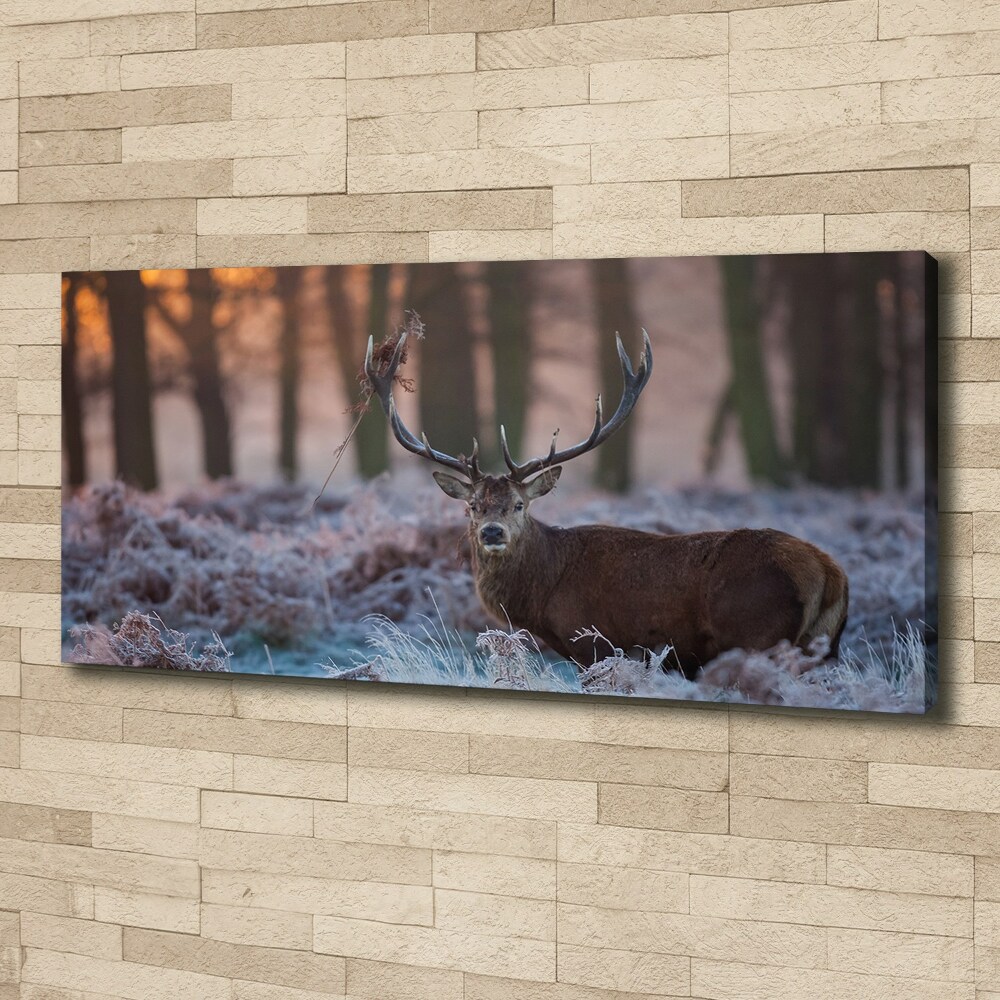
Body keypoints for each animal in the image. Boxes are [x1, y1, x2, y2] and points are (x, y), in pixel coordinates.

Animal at [364, 332, 848, 676]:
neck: (543, 594)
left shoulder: (594, 644)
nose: (492, 533)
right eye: (473, 506)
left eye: (519, 504)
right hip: (823, 648)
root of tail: (830, 574)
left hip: (757, 634)